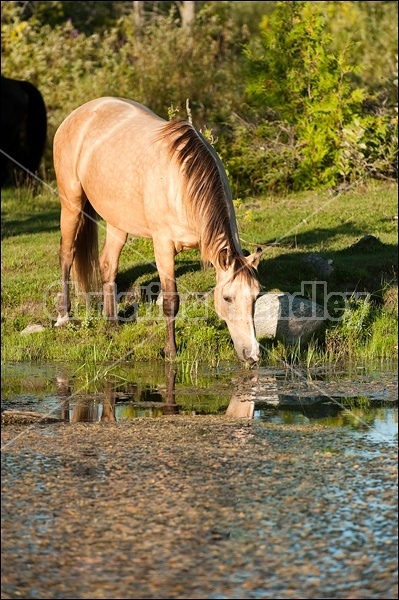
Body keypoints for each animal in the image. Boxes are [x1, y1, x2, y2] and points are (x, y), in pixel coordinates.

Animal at [54, 96, 264, 364]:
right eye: (227, 298)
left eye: (255, 296)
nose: (252, 354)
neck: (182, 183)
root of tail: (79, 114)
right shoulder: (163, 245)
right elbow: (171, 301)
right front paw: (170, 351)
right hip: (71, 202)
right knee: (67, 255)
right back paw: (64, 316)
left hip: (118, 219)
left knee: (107, 264)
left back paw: (112, 324)